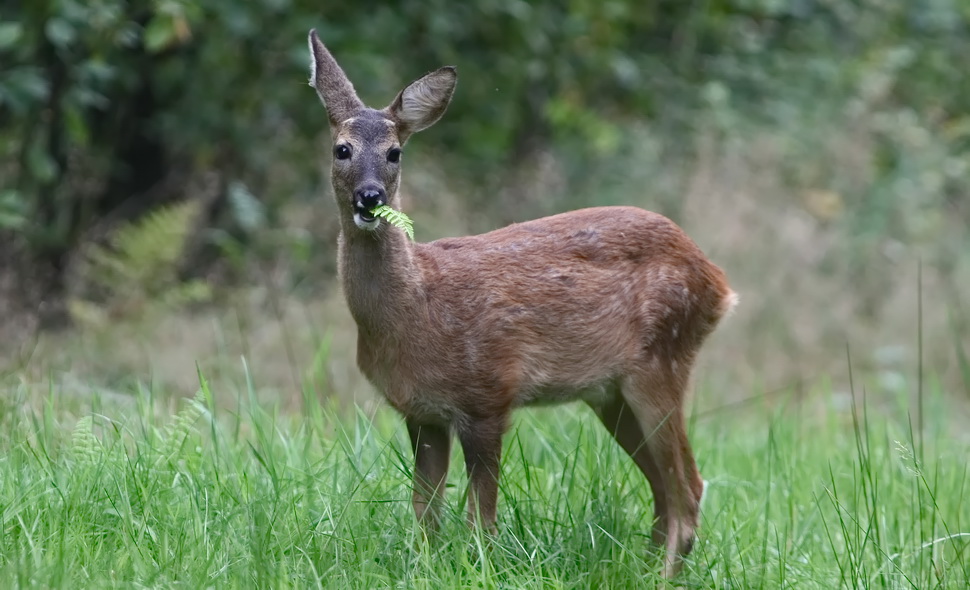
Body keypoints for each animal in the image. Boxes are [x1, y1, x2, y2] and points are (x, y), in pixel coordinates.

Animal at [306, 30, 736, 580]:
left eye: (395, 152)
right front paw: (425, 568)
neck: (416, 310)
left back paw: (660, 578)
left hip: (663, 358)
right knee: (664, 487)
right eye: (342, 149)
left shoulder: (489, 393)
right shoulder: (422, 413)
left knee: (688, 487)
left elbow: (480, 518)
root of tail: (717, 280)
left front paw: (482, 569)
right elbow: (425, 513)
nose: (370, 196)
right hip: (610, 392)